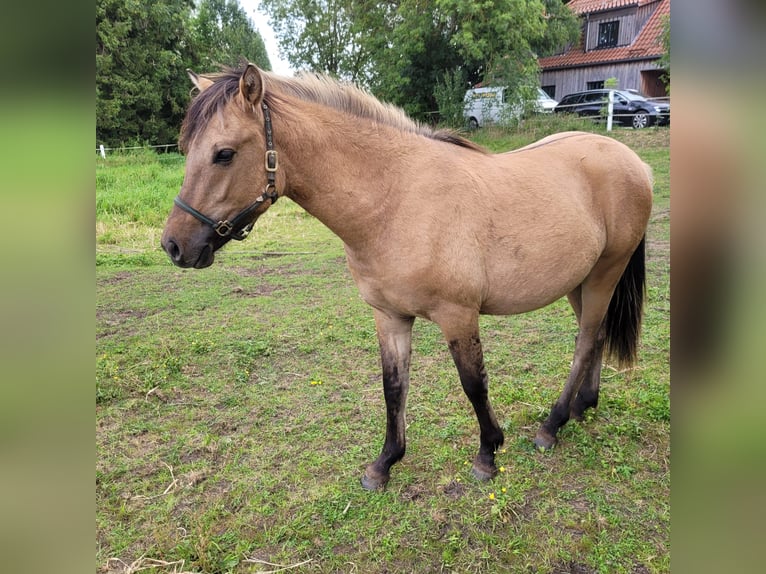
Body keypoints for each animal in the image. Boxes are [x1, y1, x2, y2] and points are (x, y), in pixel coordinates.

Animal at [161, 64, 653, 491]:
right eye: (186, 150)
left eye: (224, 154)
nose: (174, 246)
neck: (394, 199)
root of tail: (634, 161)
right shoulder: (389, 315)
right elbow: (393, 387)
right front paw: (384, 464)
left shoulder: (458, 315)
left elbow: (474, 384)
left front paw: (488, 454)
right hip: (579, 281)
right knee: (595, 334)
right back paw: (583, 407)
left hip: (605, 271)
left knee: (586, 339)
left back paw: (552, 425)